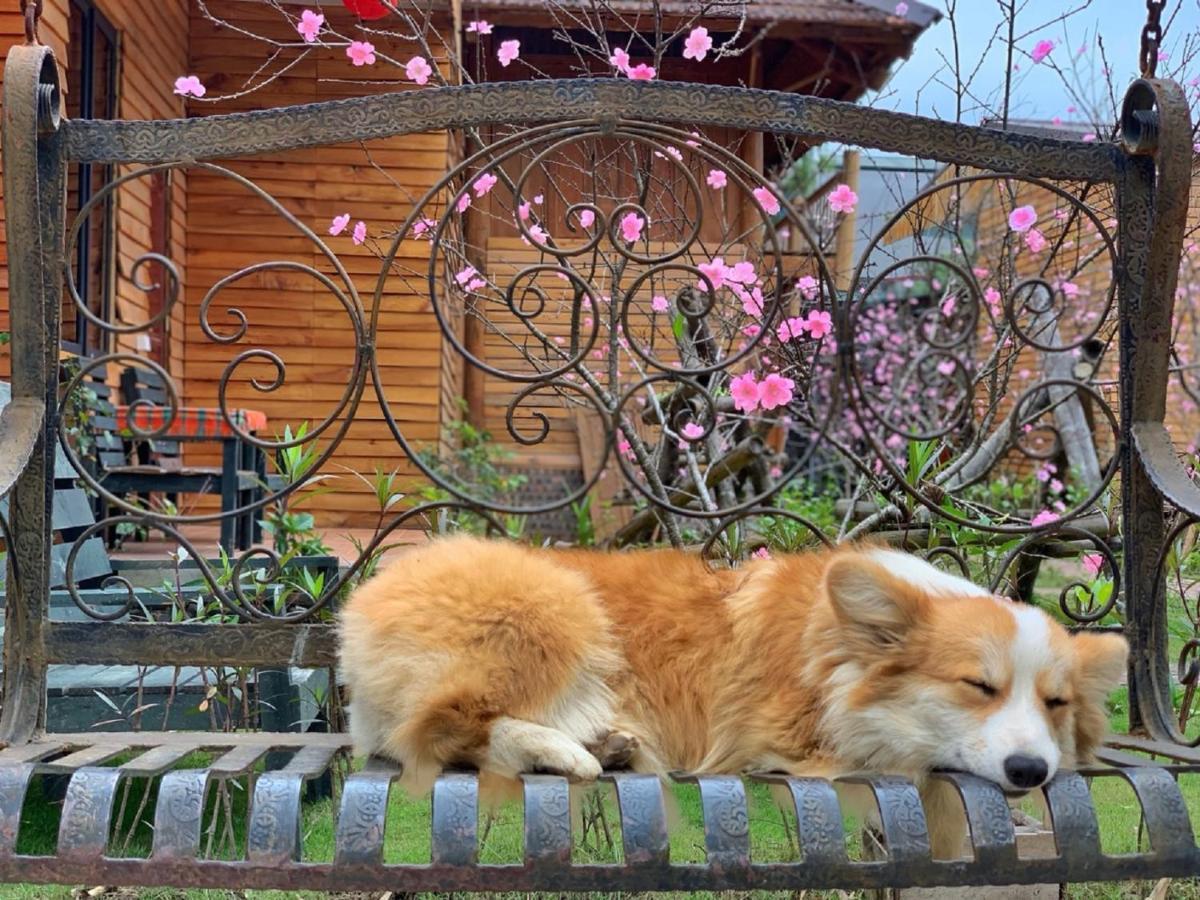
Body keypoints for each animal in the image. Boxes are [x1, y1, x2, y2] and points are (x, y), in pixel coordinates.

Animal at [338, 540, 1123, 854]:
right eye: (978, 686)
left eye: (1055, 704)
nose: (1031, 772)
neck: (840, 653)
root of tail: (358, 607)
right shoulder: (790, 743)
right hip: (556, 607)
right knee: (441, 726)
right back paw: (567, 751)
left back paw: (607, 743)